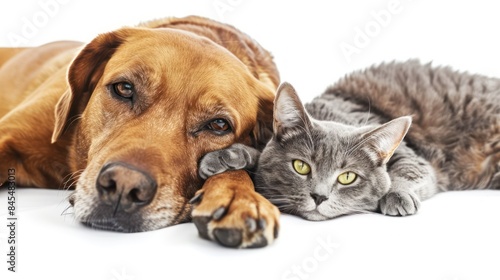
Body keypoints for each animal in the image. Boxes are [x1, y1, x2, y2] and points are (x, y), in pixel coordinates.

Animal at [198, 61, 500, 221]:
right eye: (301, 166)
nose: (319, 196)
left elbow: (410, 169)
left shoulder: (411, 154)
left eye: (347, 178)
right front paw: (225, 156)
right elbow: (260, 152)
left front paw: (397, 194)